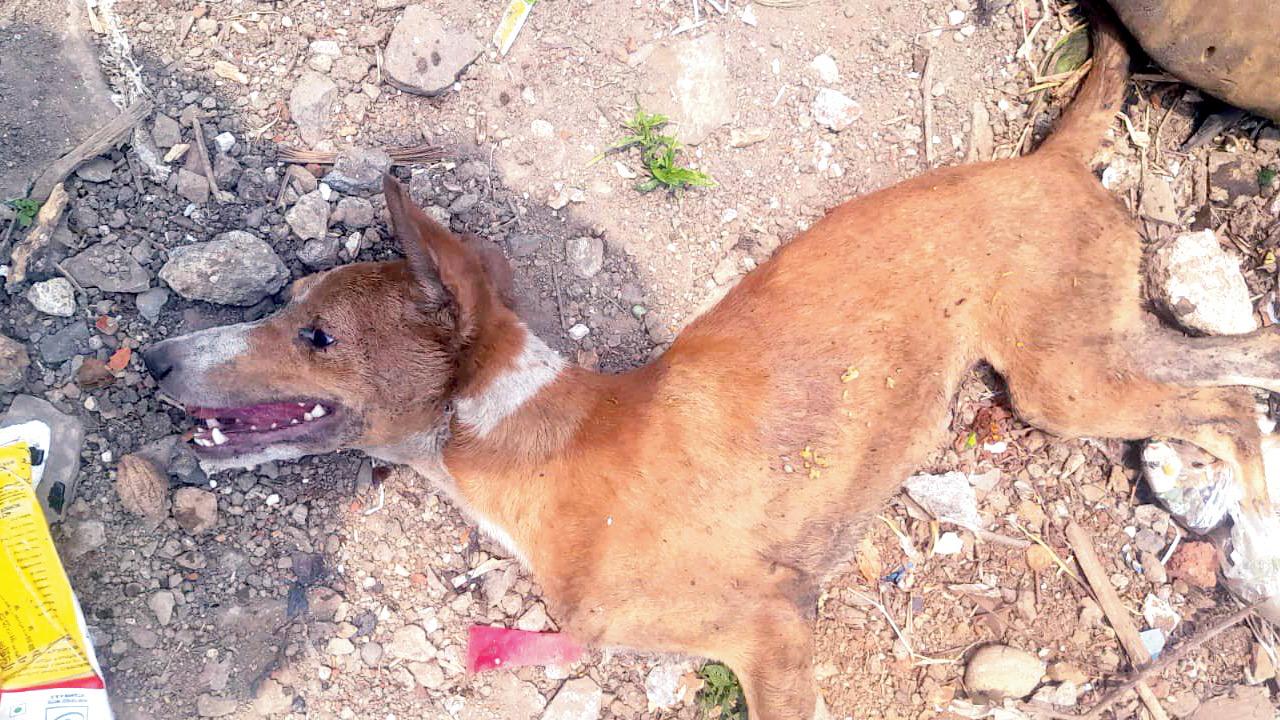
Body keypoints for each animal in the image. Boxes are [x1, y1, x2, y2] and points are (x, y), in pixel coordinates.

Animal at [147, 12, 1269, 717]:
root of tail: (1045, 158)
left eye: (316, 336)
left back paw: (1254, 545)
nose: (152, 359)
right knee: (1243, 370)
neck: (527, 438)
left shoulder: (769, 629)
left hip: (1061, 384)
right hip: (1094, 347)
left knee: (1225, 408)